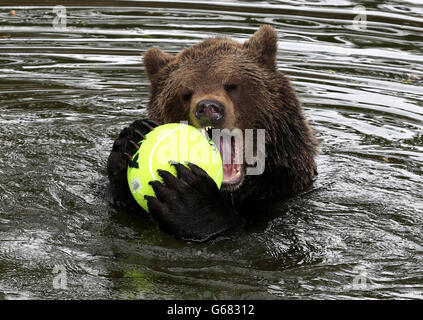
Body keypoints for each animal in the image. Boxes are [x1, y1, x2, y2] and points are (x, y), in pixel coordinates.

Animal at [107, 26, 320, 241]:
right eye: (186, 92)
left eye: (232, 84)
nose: (208, 107)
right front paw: (131, 139)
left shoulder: (279, 187)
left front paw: (189, 197)